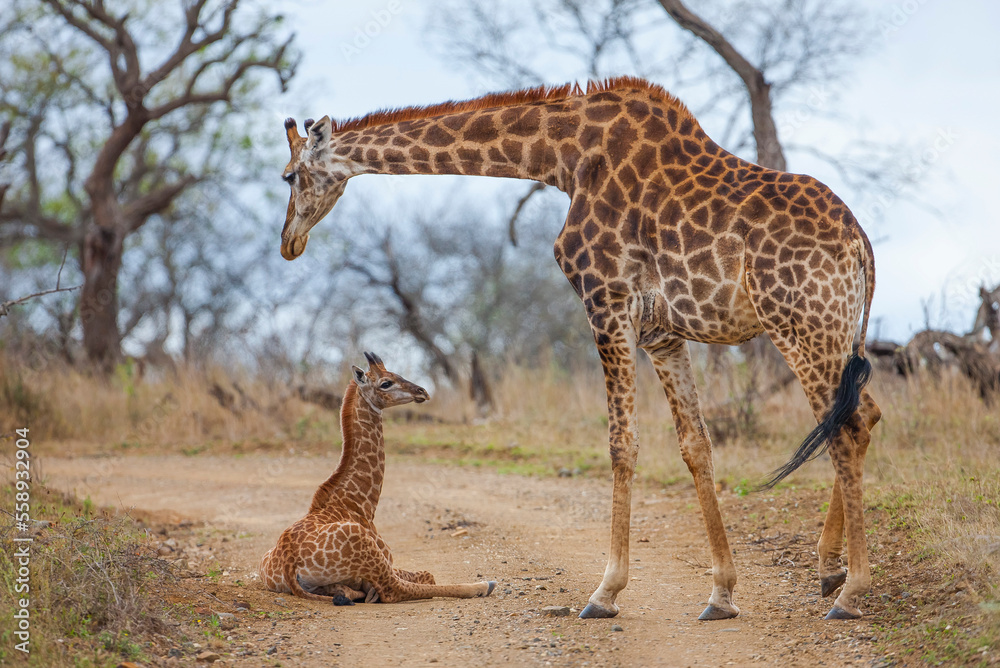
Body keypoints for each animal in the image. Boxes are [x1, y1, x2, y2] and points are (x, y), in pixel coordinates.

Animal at [259, 352, 497, 604]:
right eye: (386, 383)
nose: (422, 391)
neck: (359, 504)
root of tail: (289, 563)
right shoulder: (386, 560)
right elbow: (425, 576)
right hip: (364, 547)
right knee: (396, 590)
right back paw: (482, 585)